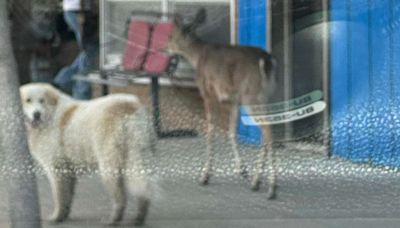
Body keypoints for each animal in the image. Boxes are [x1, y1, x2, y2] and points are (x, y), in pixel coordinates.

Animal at [19, 83, 155, 225]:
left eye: (42, 101)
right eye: (28, 101)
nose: (37, 114)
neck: (50, 115)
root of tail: (129, 106)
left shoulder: (56, 168)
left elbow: (59, 196)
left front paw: (56, 217)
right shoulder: (68, 170)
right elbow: (68, 197)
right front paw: (64, 216)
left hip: (109, 165)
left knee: (120, 197)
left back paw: (113, 220)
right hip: (138, 158)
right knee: (144, 191)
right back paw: (138, 219)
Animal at [167, 8, 276, 198]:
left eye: (171, 35)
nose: (165, 48)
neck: (197, 57)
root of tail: (266, 62)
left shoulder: (207, 93)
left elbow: (210, 131)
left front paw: (205, 176)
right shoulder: (234, 100)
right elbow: (231, 132)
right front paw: (242, 170)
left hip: (251, 96)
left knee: (268, 129)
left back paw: (269, 187)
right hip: (265, 96)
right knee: (269, 129)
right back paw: (258, 181)